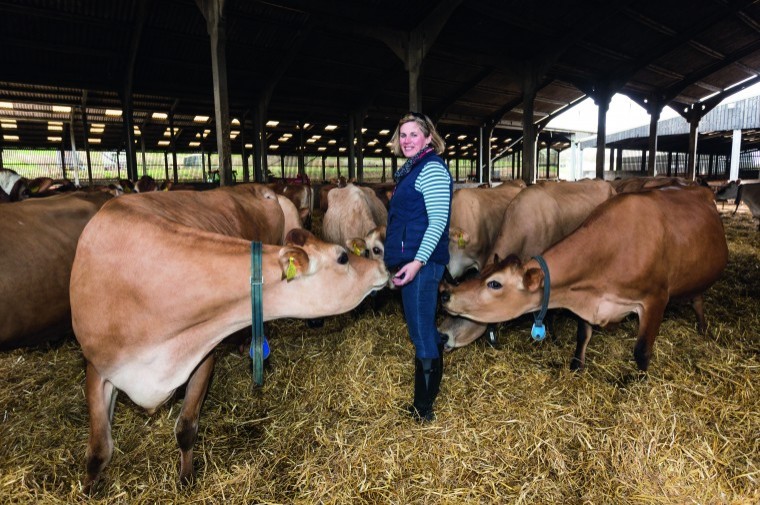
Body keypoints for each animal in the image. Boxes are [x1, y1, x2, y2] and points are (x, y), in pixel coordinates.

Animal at [72, 184, 388, 488]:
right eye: (343, 257)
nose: (382, 267)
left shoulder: (203, 353)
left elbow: (186, 428)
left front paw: (186, 477)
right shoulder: (97, 366)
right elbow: (99, 450)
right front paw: (88, 488)